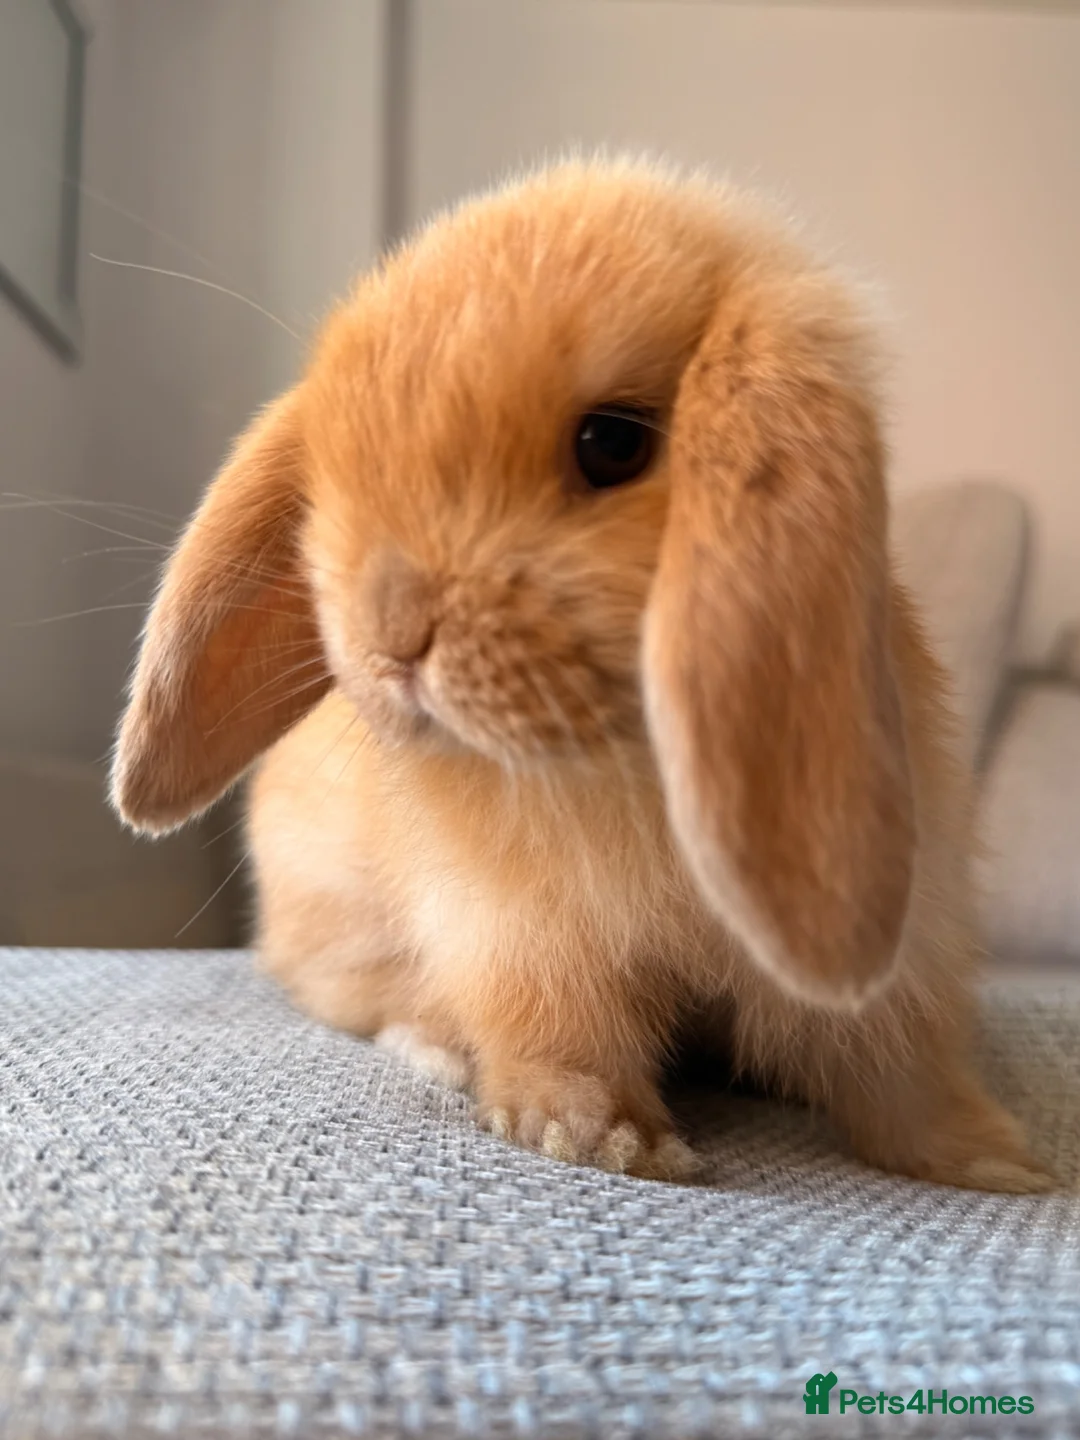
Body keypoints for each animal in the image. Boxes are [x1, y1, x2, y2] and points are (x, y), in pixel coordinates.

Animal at [111, 157, 1052, 1192]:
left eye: (613, 443)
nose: (389, 635)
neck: (628, 757)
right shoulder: (522, 935)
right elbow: (562, 1035)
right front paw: (605, 1141)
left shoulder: (906, 945)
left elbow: (901, 1069)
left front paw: (998, 1163)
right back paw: (437, 1047)